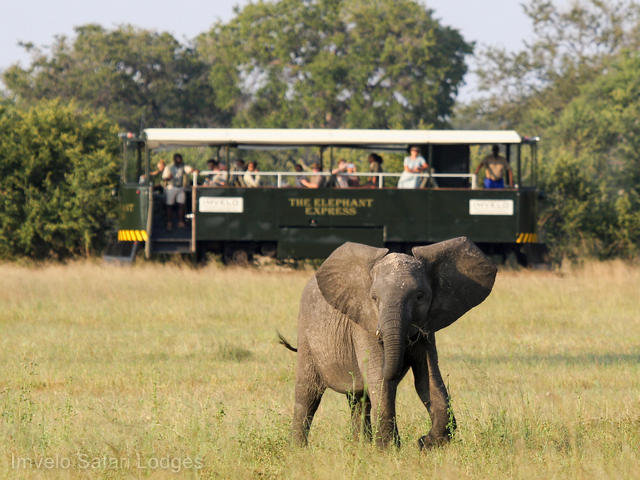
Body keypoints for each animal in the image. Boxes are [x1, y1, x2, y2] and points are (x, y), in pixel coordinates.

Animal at [279, 236, 497, 449]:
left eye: (420, 296)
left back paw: (360, 447)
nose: (420, 439)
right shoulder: (365, 324)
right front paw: (389, 449)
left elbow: (428, 378)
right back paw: (299, 449)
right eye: (374, 298)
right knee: (308, 393)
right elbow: (379, 378)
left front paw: (428, 444)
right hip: (306, 336)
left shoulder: (427, 327)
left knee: (359, 399)